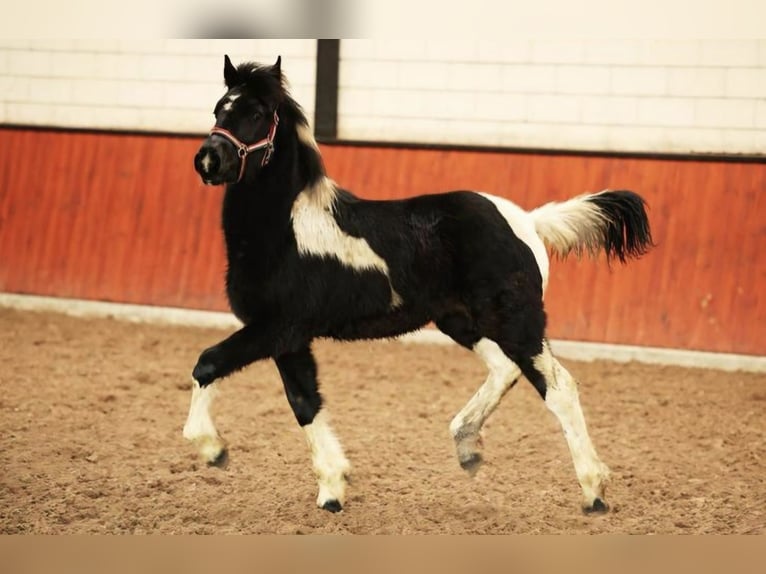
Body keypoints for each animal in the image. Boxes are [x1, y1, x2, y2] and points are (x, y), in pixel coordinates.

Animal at [183, 55, 653, 514]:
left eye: (257, 113)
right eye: (219, 108)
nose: (208, 160)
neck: (286, 232)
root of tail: (528, 221)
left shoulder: (276, 327)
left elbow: (207, 364)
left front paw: (213, 449)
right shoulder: (290, 338)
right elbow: (305, 403)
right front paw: (333, 489)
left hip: (516, 321)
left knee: (558, 387)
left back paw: (594, 493)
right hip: (462, 320)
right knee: (506, 369)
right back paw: (467, 447)